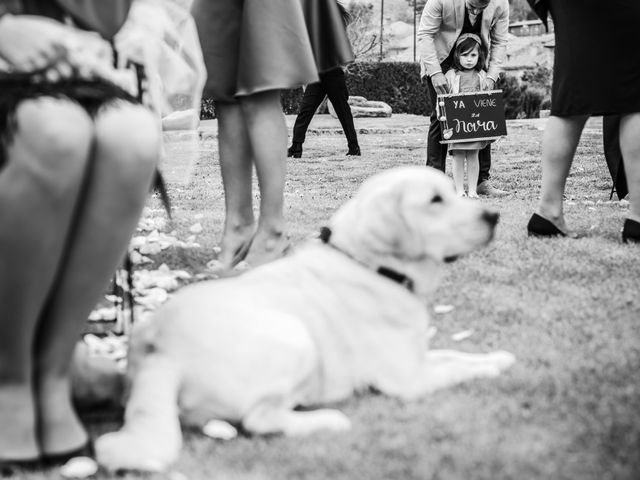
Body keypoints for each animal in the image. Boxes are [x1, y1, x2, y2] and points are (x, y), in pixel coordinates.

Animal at [95, 168, 516, 472]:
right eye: (435, 201)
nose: (494, 216)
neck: (369, 264)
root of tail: (159, 351)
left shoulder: (417, 356)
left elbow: (456, 356)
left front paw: (497, 357)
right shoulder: (408, 379)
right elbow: (456, 369)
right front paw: (492, 367)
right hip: (294, 336)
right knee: (260, 419)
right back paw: (328, 420)